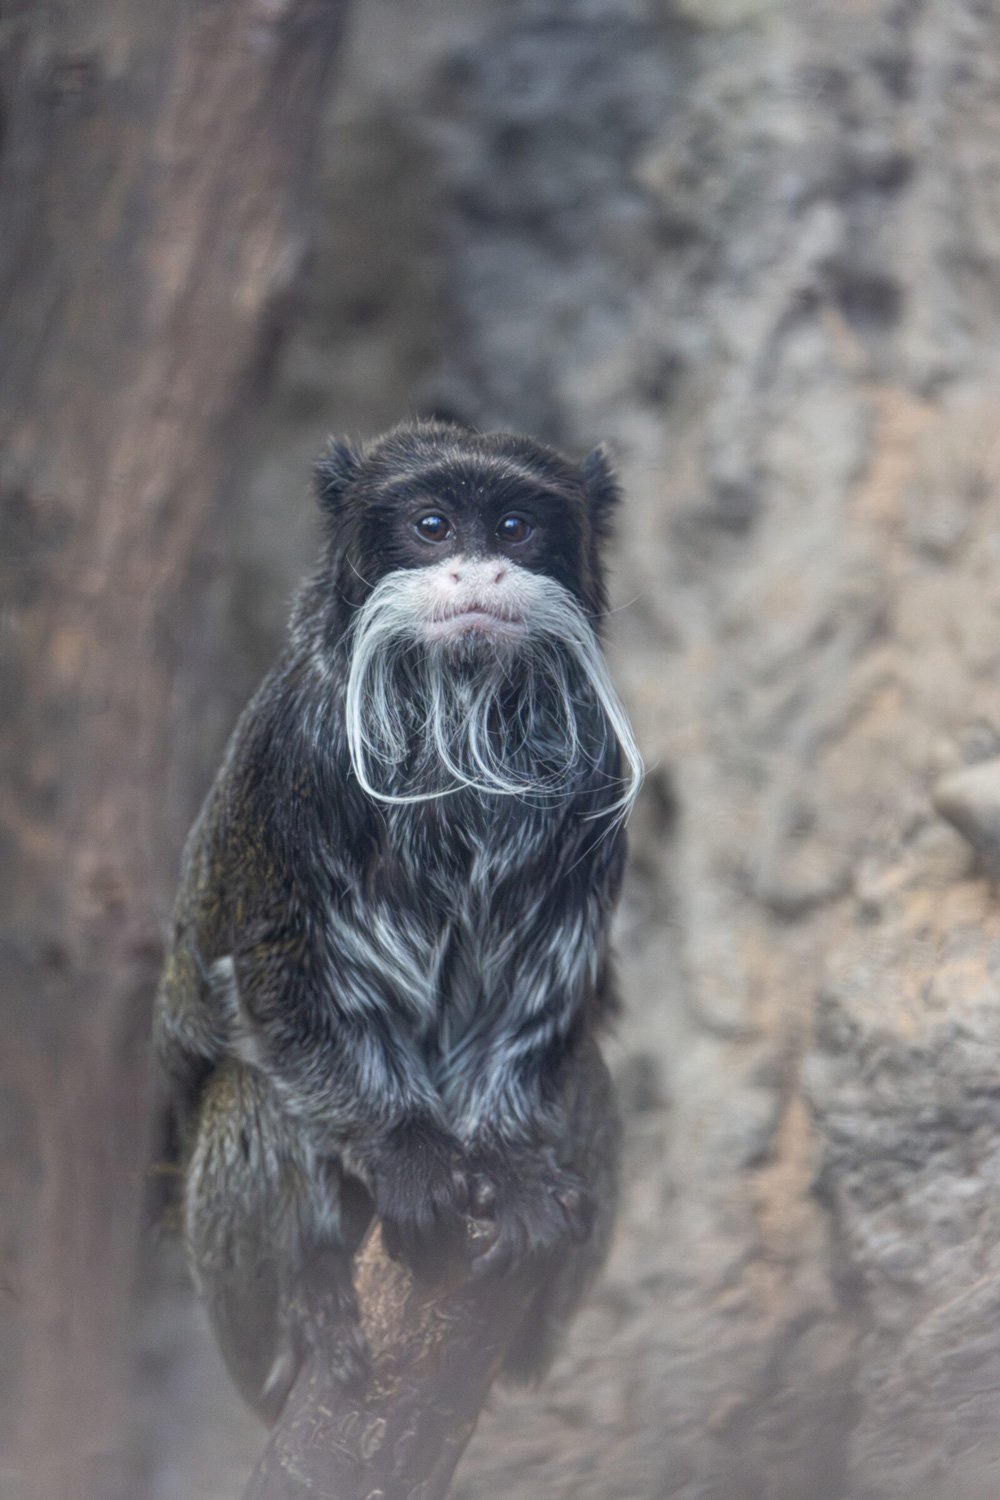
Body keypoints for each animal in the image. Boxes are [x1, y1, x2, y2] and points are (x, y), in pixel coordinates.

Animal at [154, 419, 642, 1423]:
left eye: (513, 526)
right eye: (431, 525)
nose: (479, 569)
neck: (462, 713)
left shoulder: (598, 772)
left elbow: (541, 998)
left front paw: (507, 1165)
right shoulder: (295, 750)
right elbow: (279, 976)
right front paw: (412, 1155)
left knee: (585, 1072)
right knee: (249, 1089)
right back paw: (306, 1312)